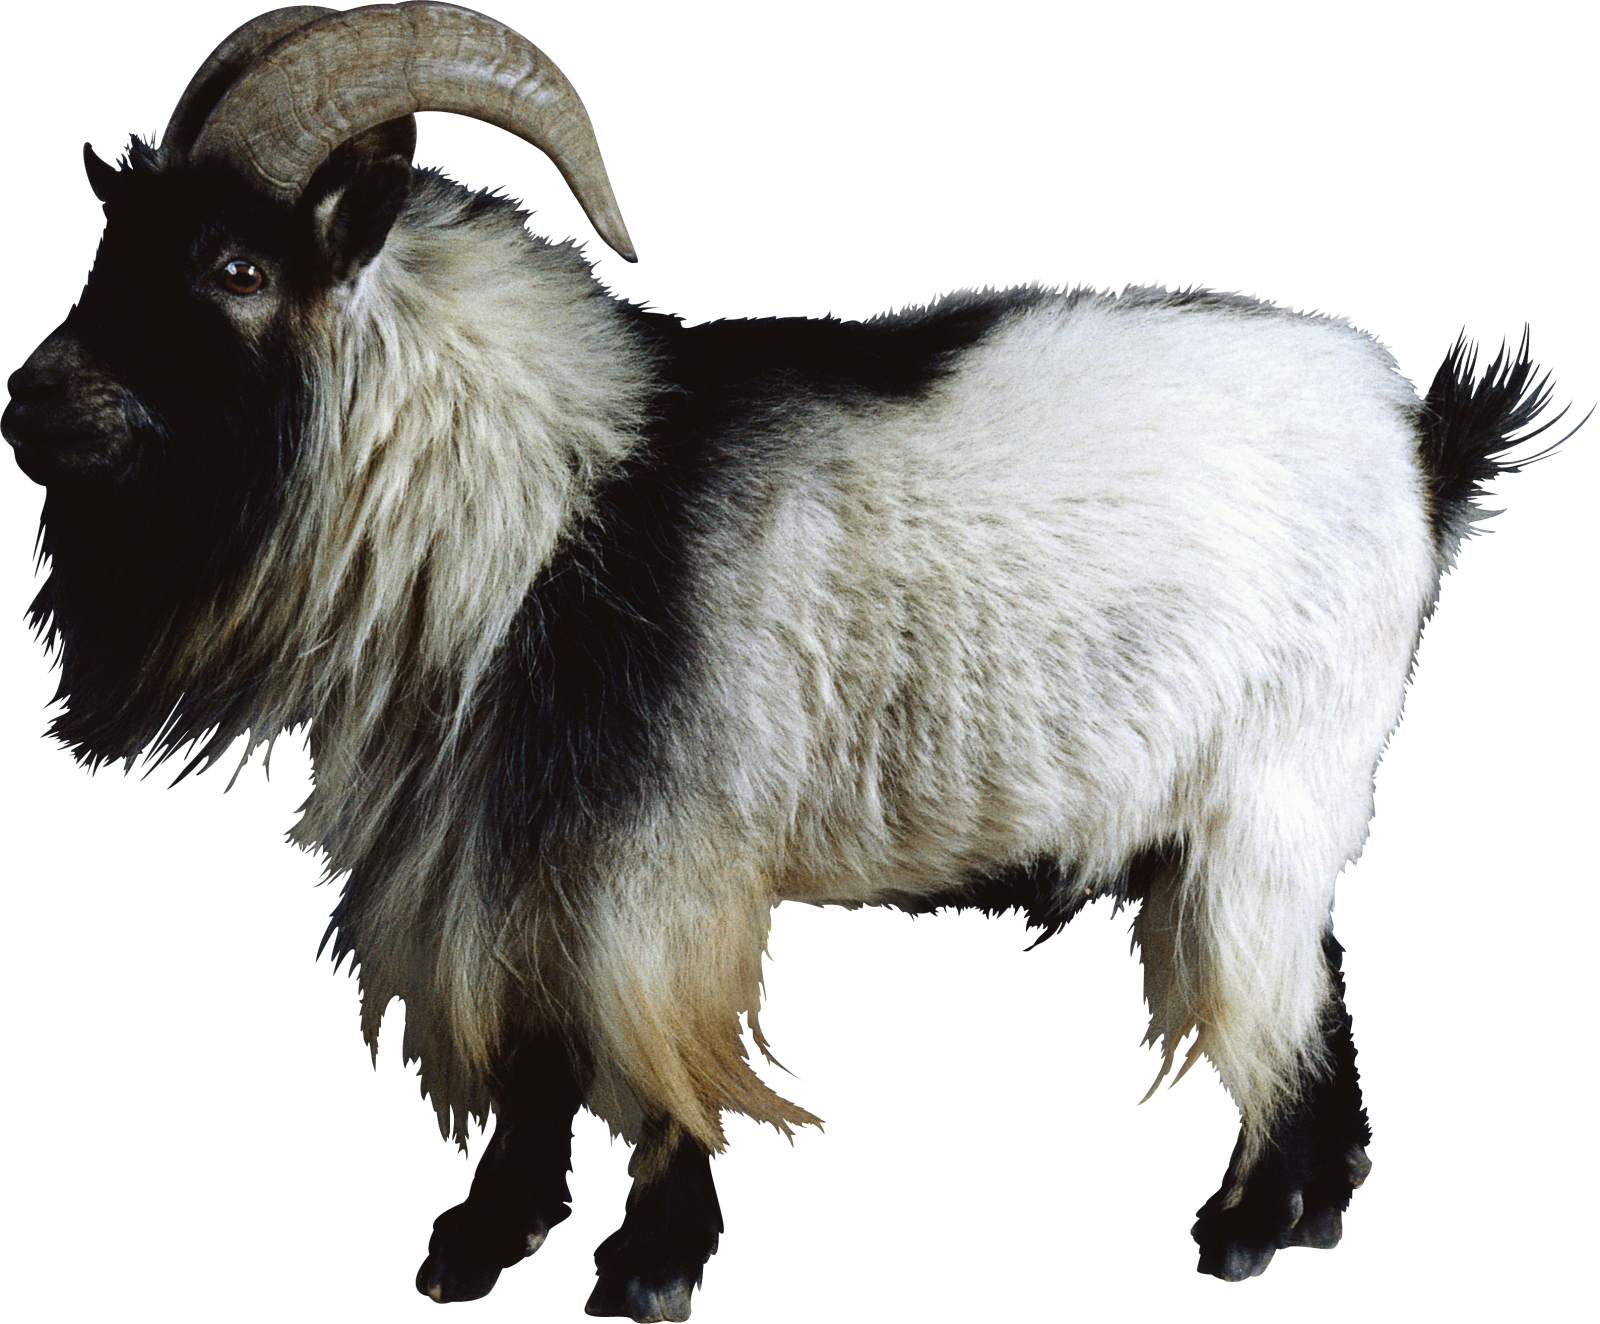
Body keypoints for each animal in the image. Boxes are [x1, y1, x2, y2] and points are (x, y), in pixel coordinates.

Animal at [5, 4, 1589, 1317]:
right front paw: (481, 1246)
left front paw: (647, 1268)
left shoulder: (658, 856)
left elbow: (649, 1046)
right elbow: (531, 1053)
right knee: (1318, 980)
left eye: (234, 265)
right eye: (113, 246)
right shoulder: (507, 847)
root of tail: (1422, 447)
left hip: (1270, 786)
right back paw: (1310, 1211)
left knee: (1274, 993)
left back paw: (1252, 1225)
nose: (30, 402)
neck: (548, 498)